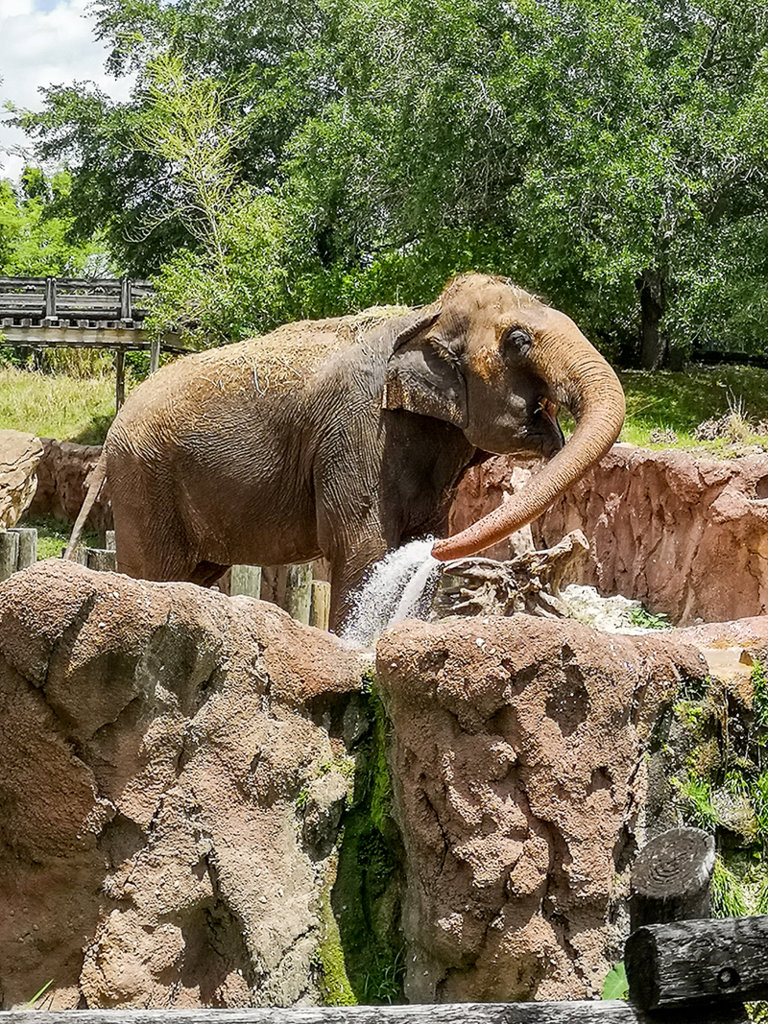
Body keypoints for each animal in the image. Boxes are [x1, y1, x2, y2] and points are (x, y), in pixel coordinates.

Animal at [67, 274, 625, 630]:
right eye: (518, 340)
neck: (426, 313)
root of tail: (109, 439)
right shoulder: (356, 430)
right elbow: (363, 549)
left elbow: (413, 541)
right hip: (145, 480)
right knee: (156, 572)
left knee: (197, 573)